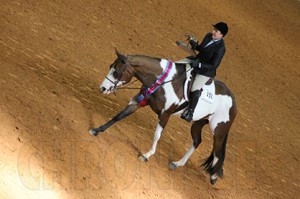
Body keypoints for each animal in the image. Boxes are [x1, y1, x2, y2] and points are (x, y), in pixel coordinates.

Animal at [89, 49, 237, 184]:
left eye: (117, 71)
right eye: (110, 67)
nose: (102, 88)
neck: (162, 81)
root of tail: (234, 103)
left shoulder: (165, 114)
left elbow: (157, 135)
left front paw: (147, 155)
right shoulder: (138, 102)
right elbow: (119, 116)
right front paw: (96, 130)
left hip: (218, 131)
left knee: (217, 153)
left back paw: (213, 177)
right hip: (198, 122)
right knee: (197, 141)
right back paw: (177, 164)